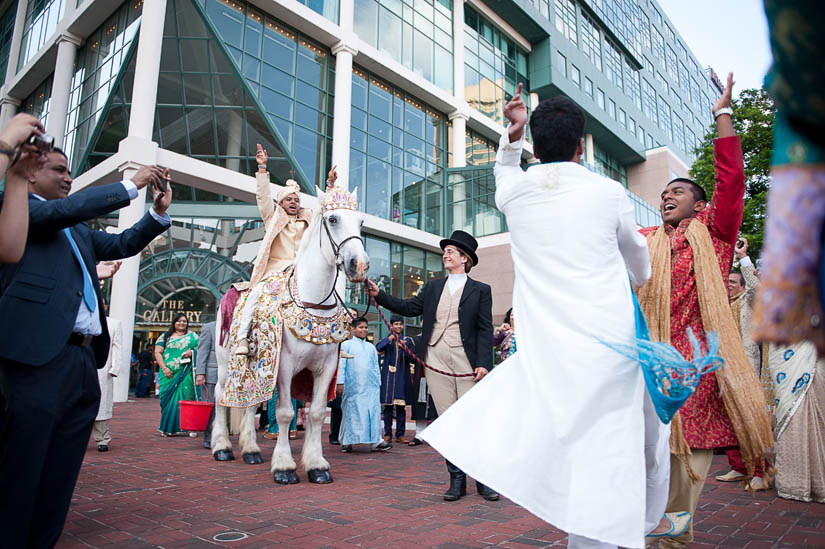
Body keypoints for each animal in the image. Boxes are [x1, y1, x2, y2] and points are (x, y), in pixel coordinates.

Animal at [212, 188, 366, 484]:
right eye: (332, 219)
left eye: (361, 222)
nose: (360, 265)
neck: (312, 300)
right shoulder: (283, 366)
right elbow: (284, 413)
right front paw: (284, 466)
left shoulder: (326, 367)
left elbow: (316, 413)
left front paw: (317, 465)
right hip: (226, 363)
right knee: (220, 396)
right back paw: (222, 447)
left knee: (251, 403)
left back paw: (250, 450)